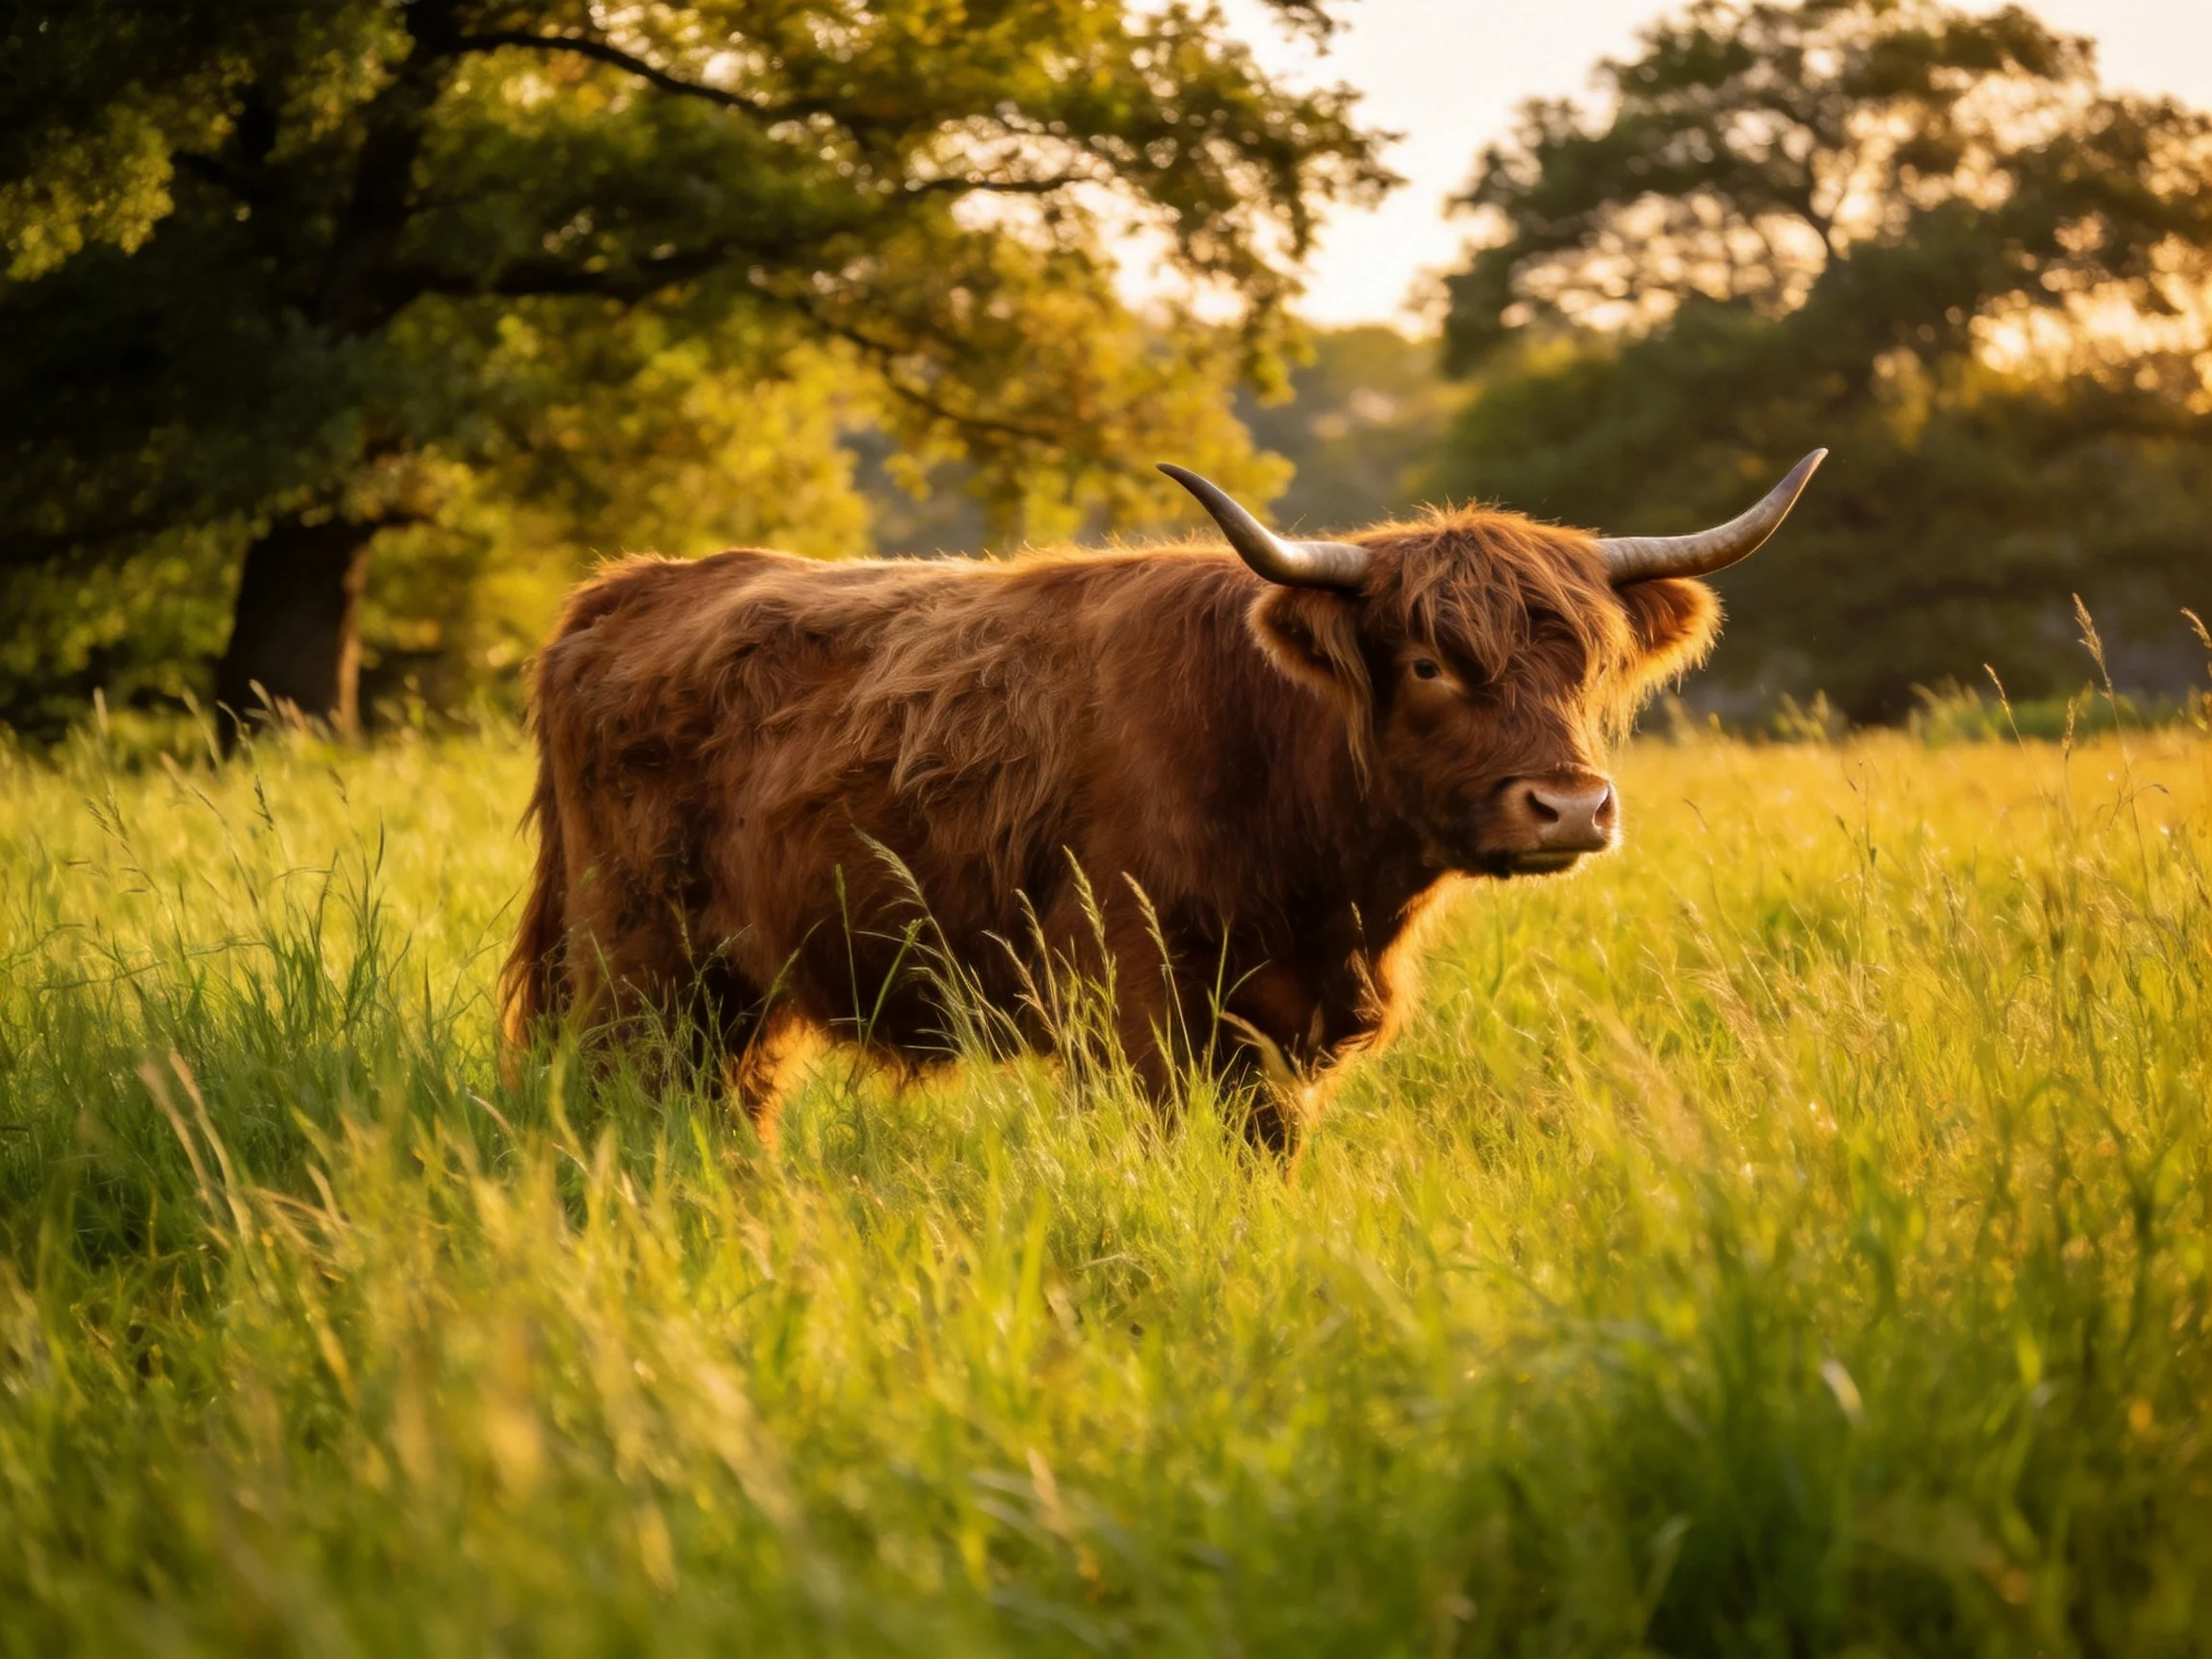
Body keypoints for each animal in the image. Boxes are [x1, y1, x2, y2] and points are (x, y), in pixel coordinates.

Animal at [501, 452, 1825, 1147]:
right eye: (1428, 663)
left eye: (1589, 664)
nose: (1570, 807)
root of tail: (629, 588)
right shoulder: (1136, 1007)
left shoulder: (1279, 1033)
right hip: (633, 960)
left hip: (736, 987)